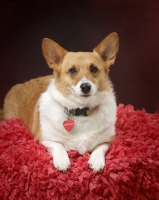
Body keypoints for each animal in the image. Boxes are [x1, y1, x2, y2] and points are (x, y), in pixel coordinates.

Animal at [3, 32, 118, 172]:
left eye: (93, 69)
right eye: (72, 70)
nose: (85, 87)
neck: (81, 110)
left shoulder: (108, 139)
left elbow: (100, 148)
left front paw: (96, 161)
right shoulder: (44, 138)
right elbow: (58, 146)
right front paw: (62, 161)